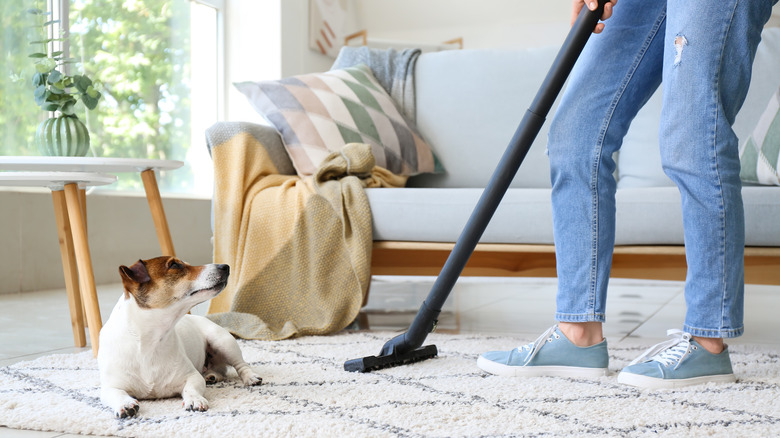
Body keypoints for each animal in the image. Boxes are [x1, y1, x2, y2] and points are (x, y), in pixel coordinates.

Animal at [96, 256, 262, 418]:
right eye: (175, 265)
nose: (225, 266)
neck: (149, 341)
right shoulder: (110, 386)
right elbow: (116, 393)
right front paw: (125, 404)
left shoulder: (192, 376)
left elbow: (191, 388)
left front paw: (194, 399)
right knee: (220, 371)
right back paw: (211, 375)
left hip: (223, 341)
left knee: (241, 365)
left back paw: (250, 377)